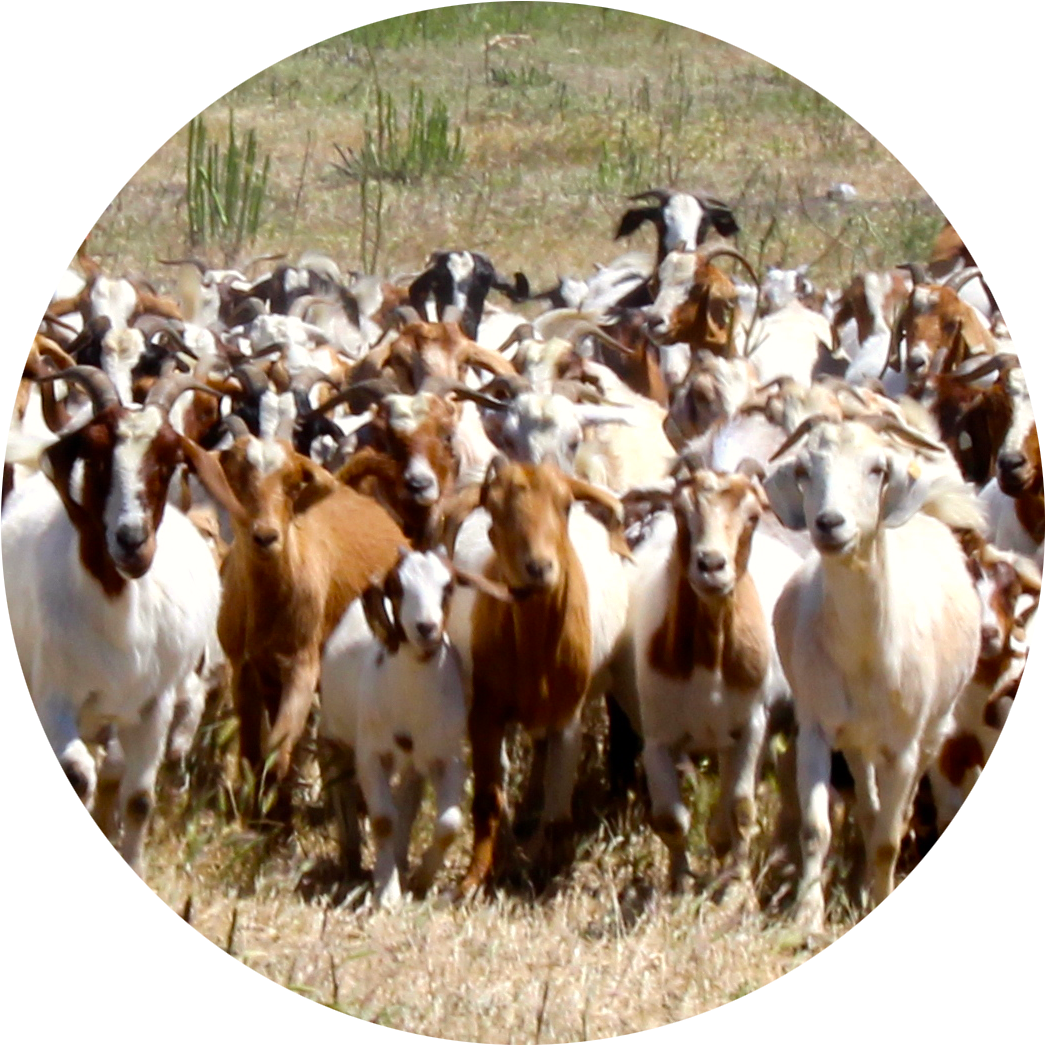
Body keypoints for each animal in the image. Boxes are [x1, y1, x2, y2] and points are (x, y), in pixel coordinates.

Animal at [3, 367, 226, 873]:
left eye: (171, 459)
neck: (119, 612)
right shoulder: (54, 699)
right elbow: (78, 776)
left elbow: (139, 799)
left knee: (114, 771)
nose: (131, 541)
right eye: (94, 453)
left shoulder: (154, 706)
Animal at [764, 416, 982, 929]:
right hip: (857, 741)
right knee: (867, 808)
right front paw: (806, 918)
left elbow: (888, 839)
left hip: (931, 732)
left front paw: (876, 896)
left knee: (893, 817)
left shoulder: (902, 746)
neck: (863, 656)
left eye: (876, 468)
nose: (829, 523)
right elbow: (815, 828)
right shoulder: (817, 728)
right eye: (804, 469)